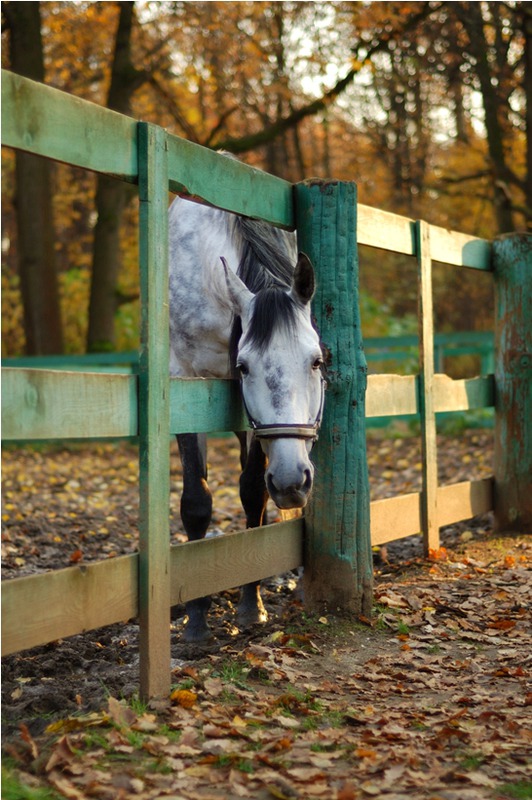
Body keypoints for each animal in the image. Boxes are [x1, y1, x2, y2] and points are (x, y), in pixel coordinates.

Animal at [168, 183, 324, 644]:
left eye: (317, 361)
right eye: (244, 367)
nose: (292, 481)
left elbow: (253, 491)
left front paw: (251, 606)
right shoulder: (184, 381)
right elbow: (196, 501)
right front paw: (196, 618)